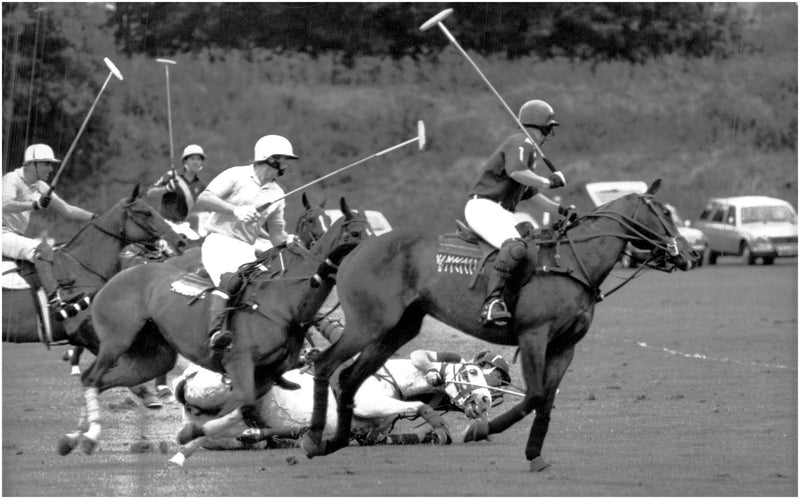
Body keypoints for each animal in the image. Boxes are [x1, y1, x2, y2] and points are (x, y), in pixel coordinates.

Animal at [57, 197, 372, 458]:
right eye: (355, 234)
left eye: (369, 232)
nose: (369, 261)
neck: (285, 301)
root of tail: (111, 280)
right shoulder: (239, 362)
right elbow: (239, 403)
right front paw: (191, 437)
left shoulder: (266, 375)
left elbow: (238, 407)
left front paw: (190, 437)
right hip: (116, 341)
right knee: (91, 377)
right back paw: (85, 437)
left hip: (153, 358)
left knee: (97, 380)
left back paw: (76, 439)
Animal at [167, 358, 494, 466]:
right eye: (471, 372)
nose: (486, 399)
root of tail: (186, 376)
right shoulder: (366, 402)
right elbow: (420, 406)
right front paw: (439, 429)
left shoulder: (374, 426)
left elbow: (376, 432)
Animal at [300, 181, 700, 472]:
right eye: (665, 211)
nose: (691, 254)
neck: (574, 262)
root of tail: (358, 247)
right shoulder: (535, 335)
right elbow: (535, 395)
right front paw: (480, 430)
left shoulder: (565, 346)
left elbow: (547, 401)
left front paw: (535, 457)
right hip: (369, 323)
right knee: (326, 364)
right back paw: (315, 439)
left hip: (398, 329)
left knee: (349, 377)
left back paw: (332, 443)